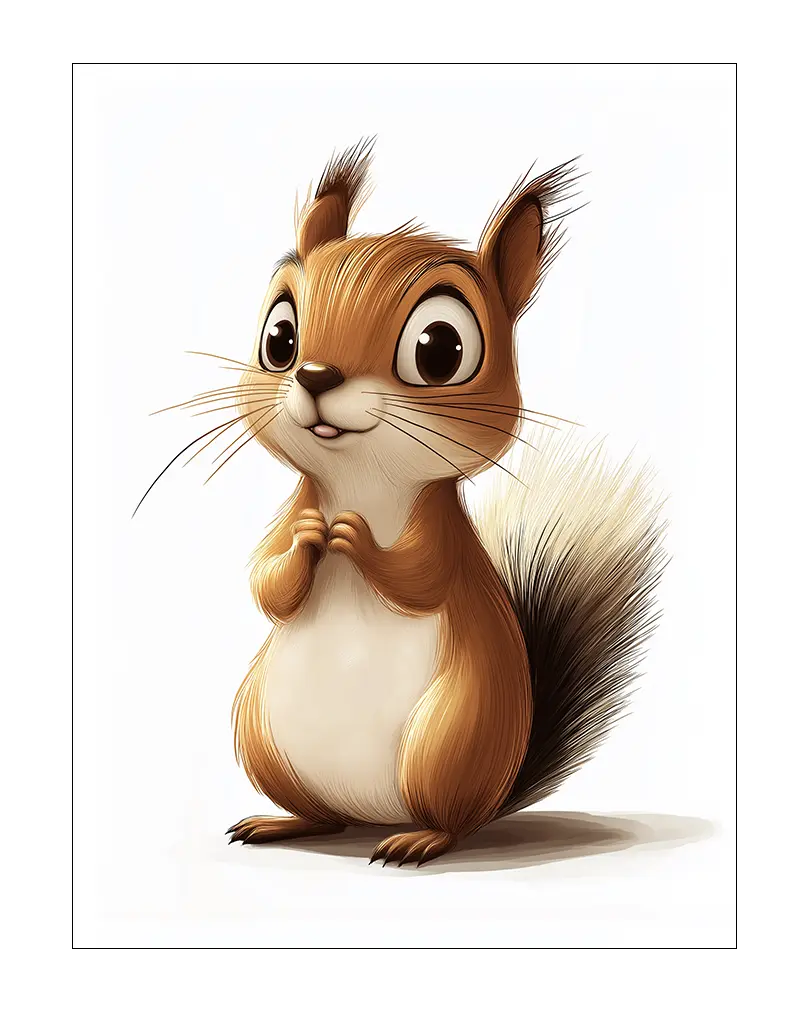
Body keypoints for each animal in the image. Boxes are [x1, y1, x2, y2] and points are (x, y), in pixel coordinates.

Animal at [218, 139, 666, 867]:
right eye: (279, 338)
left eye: (440, 349)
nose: (314, 376)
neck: (362, 484)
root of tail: (373, 813)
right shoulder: (283, 517)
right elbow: (264, 581)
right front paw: (311, 541)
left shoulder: (444, 538)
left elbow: (420, 578)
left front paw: (356, 541)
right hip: (263, 736)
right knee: (323, 816)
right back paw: (284, 823)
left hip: (449, 741)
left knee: (452, 820)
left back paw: (419, 840)